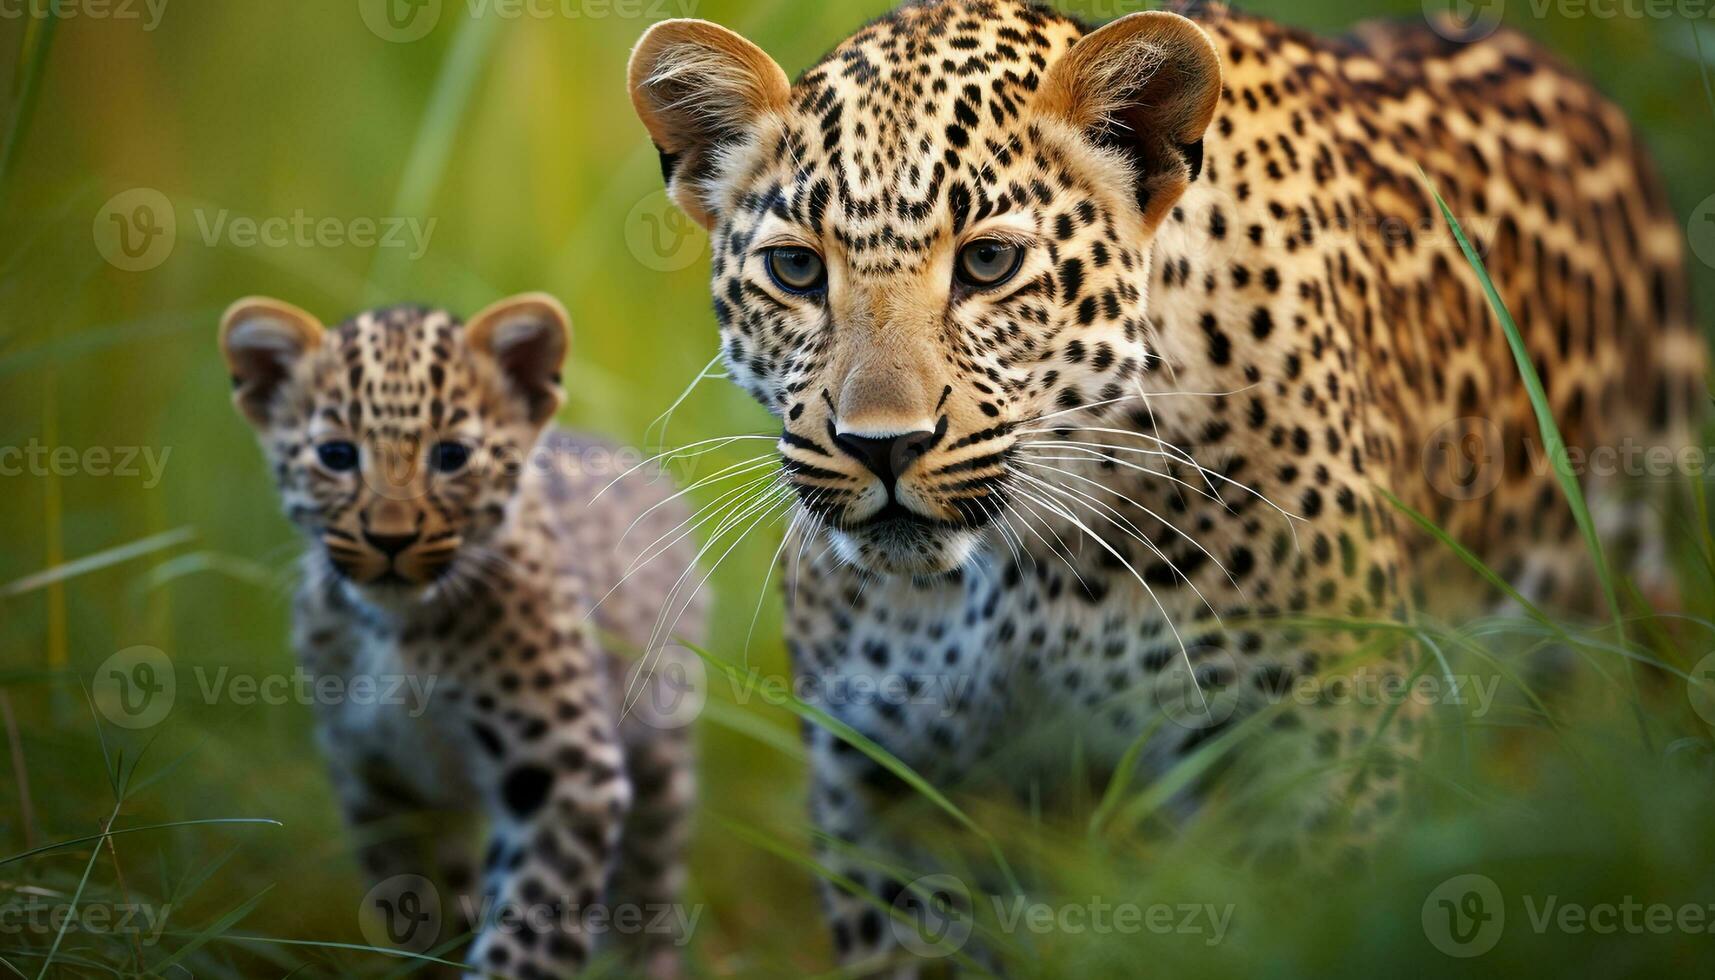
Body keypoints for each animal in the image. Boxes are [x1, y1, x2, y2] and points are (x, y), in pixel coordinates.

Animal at [631, 0, 1701, 967]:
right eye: (795, 272)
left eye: (987, 261)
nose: (879, 445)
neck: (1018, 571)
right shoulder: (891, 796)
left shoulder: (1319, 748)